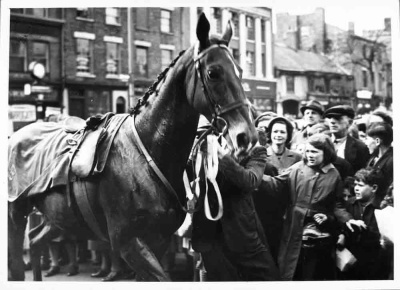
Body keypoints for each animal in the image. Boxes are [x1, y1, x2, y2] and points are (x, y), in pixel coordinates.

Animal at [8, 13, 260, 280]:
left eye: (240, 71)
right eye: (213, 73)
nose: (247, 136)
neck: (147, 154)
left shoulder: (158, 240)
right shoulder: (128, 242)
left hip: (58, 217)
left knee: (35, 242)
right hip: (17, 212)